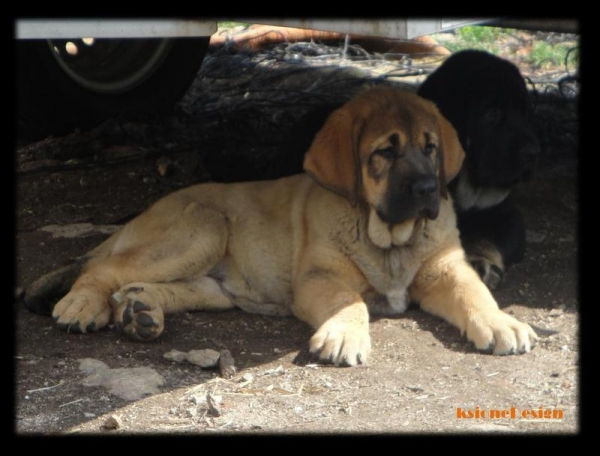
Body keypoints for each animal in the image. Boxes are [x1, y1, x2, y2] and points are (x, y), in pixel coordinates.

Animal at [25, 87, 536, 366]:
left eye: (430, 147)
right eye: (385, 153)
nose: (430, 188)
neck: (389, 239)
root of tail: (142, 215)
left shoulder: (446, 269)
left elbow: (476, 293)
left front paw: (502, 323)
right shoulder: (319, 278)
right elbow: (350, 301)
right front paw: (344, 334)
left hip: (214, 283)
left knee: (156, 285)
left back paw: (141, 310)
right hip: (203, 229)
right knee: (102, 270)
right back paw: (84, 306)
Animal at [280, 50, 540, 290]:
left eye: (526, 113)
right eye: (491, 113)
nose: (533, 153)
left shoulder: (503, 212)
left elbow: (489, 238)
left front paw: (481, 260)